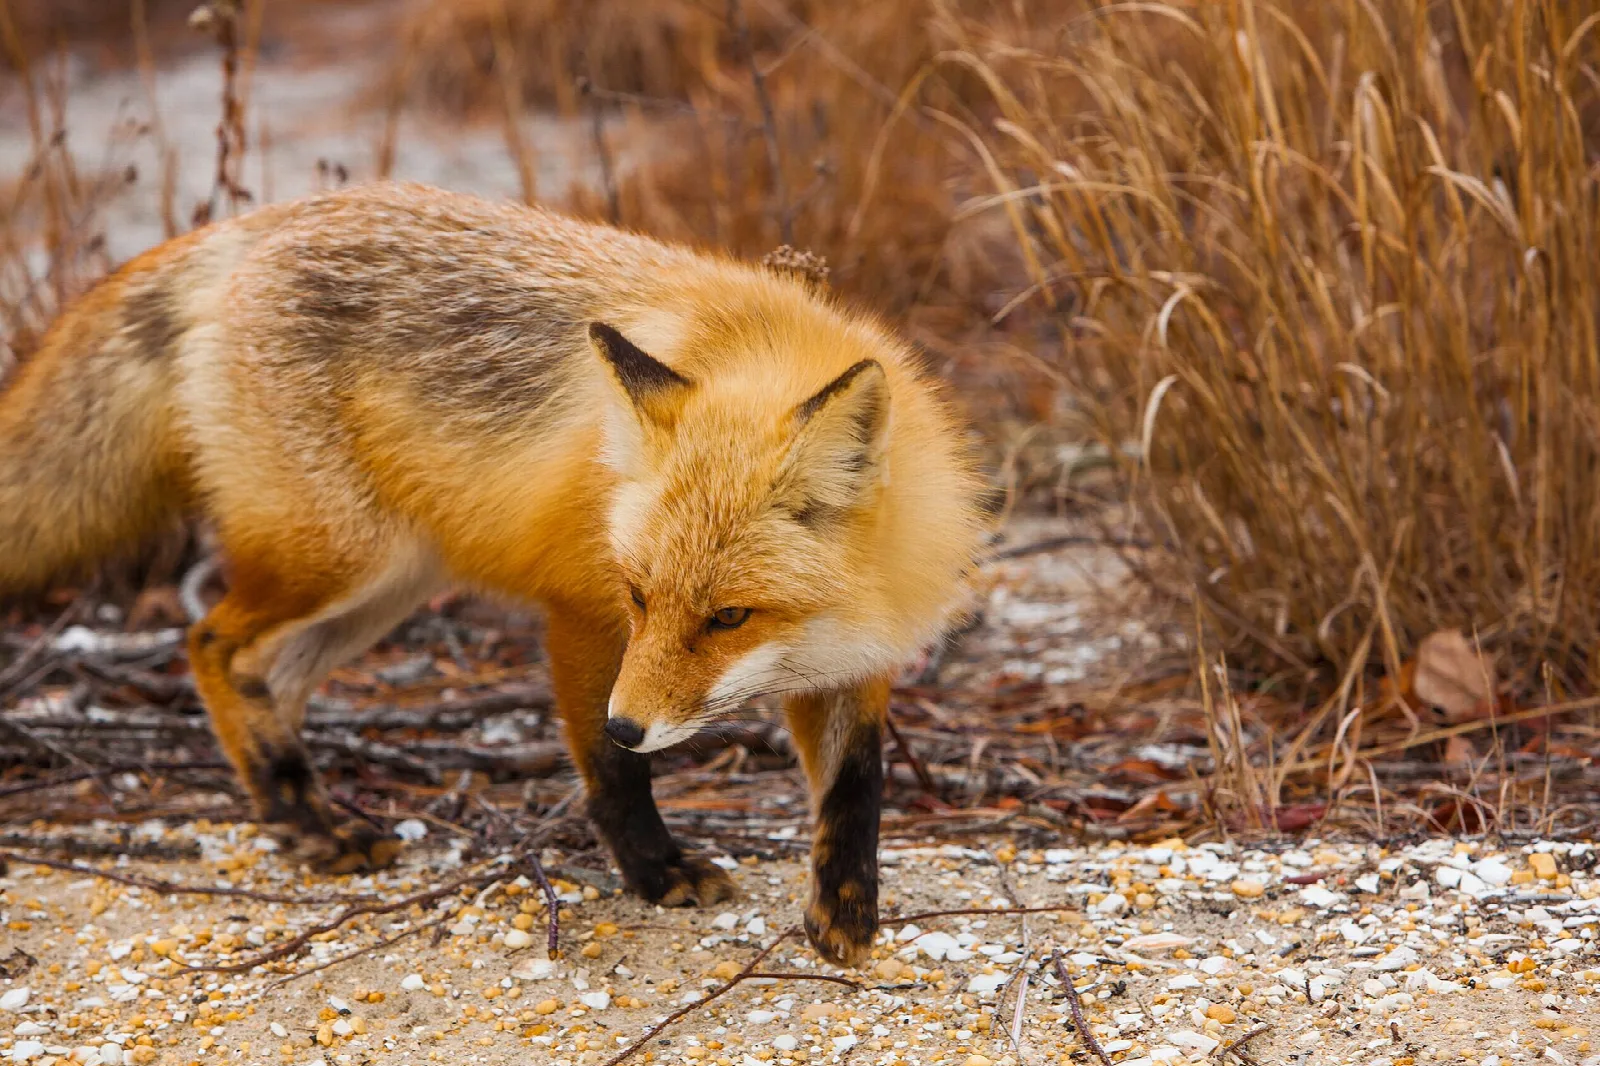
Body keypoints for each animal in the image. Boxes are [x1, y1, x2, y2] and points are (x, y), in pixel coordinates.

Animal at [0, 181, 990, 965]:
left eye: (729, 618)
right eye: (640, 596)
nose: (634, 723)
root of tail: (254, 223)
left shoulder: (854, 659)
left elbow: (857, 785)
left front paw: (846, 909)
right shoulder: (582, 613)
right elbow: (611, 774)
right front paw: (656, 871)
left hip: (388, 588)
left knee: (261, 671)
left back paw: (297, 810)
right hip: (341, 560)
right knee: (210, 643)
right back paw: (308, 822)